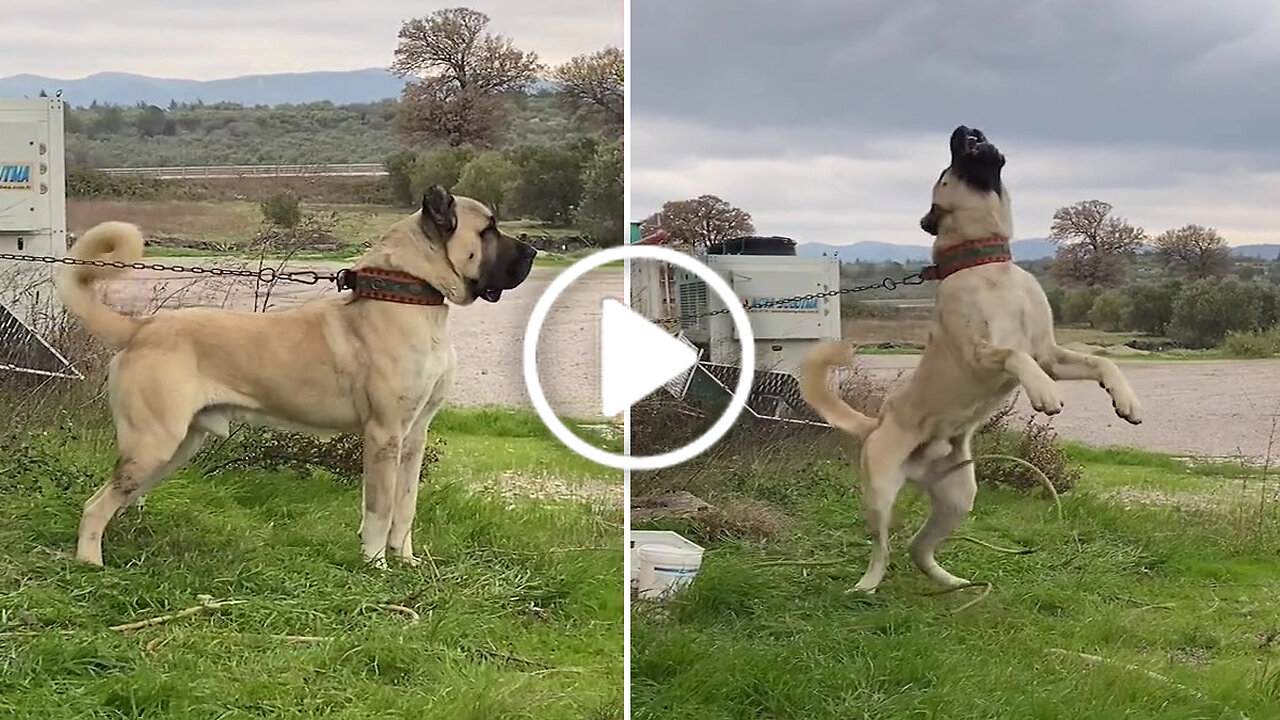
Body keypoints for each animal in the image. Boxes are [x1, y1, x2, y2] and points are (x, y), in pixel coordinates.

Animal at [53, 184, 535, 566]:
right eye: (488, 230)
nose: (533, 251)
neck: (413, 295)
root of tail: (141, 327)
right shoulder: (384, 435)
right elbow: (379, 511)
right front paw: (375, 567)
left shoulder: (414, 436)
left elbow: (406, 508)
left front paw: (407, 562)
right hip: (154, 442)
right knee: (95, 506)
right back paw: (91, 563)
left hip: (176, 445)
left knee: (118, 499)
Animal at [798, 126, 1141, 591]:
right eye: (947, 170)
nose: (964, 128)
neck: (988, 263)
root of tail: (878, 425)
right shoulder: (980, 352)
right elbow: (1014, 354)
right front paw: (1044, 394)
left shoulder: (1050, 354)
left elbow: (1104, 363)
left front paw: (1125, 401)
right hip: (881, 492)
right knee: (882, 548)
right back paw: (867, 585)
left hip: (959, 498)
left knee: (918, 547)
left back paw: (952, 583)